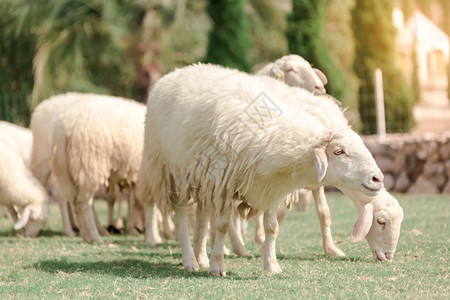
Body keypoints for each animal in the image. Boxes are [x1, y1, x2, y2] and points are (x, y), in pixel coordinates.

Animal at [138, 63, 384, 276]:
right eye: (339, 151)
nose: (378, 178)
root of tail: (176, 71)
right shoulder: (225, 182)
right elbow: (222, 226)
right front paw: (218, 266)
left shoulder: (271, 188)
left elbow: (272, 227)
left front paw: (271, 265)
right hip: (171, 172)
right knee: (180, 215)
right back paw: (190, 260)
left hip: (201, 177)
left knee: (201, 214)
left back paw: (201, 257)